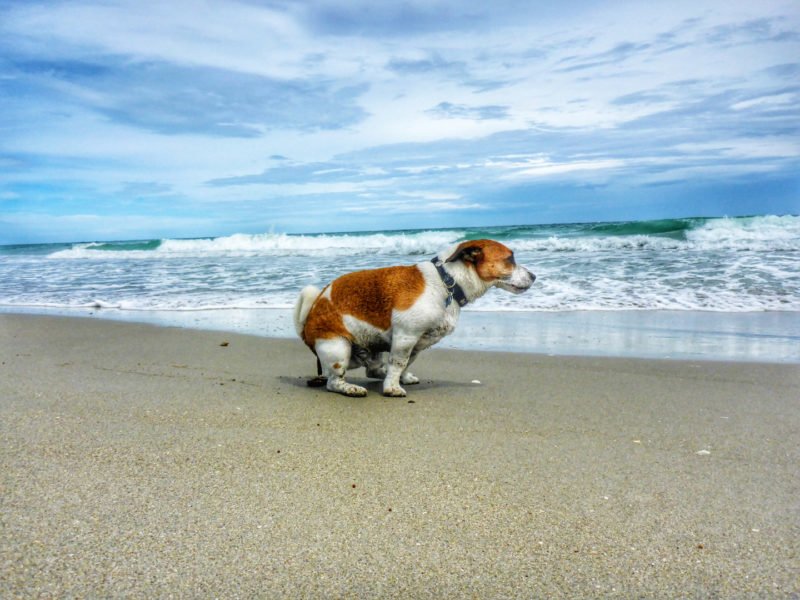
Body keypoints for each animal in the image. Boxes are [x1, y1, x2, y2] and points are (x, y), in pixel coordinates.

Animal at [290, 239, 536, 398]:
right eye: (510, 258)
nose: (534, 276)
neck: (447, 282)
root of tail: (306, 323)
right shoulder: (406, 336)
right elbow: (399, 362)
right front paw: (392, 388)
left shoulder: (416, 343)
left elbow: (405, 363)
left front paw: (400, 378)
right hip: (339, 349)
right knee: (333, 381)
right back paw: (351, 388)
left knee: (372, 369)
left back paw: (379, 373)